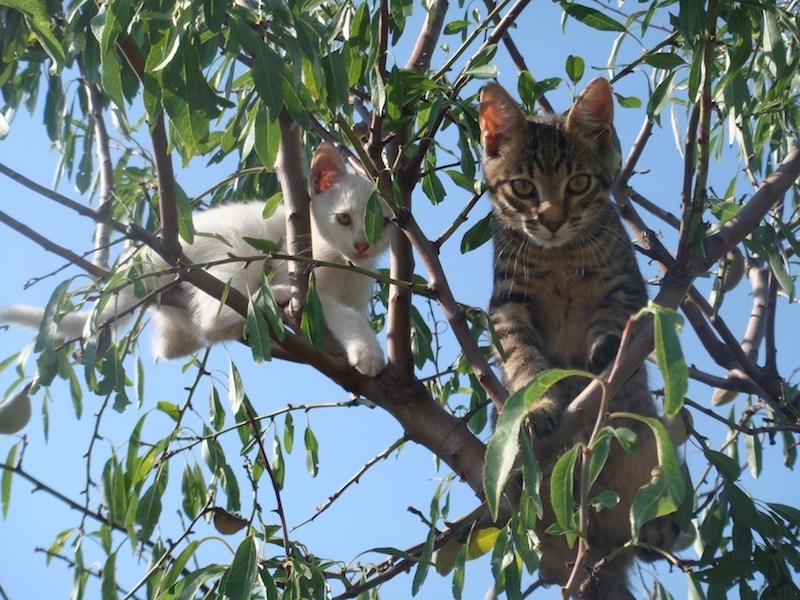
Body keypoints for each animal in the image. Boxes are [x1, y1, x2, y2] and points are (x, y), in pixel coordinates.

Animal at [0, 143, 394, 376]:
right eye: (344, 218)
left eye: (385, 224)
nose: (362, 245)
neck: (341, 264)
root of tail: (141, 258)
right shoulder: (302, 278)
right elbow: (343, 314)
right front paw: (368, 352)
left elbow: (352, 312)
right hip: (238, 245)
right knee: (211, 319)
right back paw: (270, 300)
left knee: (176, 344)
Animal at [478, 78, 684, 596]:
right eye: (524, 188)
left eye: (578, 184)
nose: (551, 220)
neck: (560, 256)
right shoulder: (507, 306)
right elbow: (525, 362)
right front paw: (536, 406)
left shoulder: (626, 289)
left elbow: (612, 323)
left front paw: (603, 353)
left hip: (658, 445)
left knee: (652, 535)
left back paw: (659, 529)